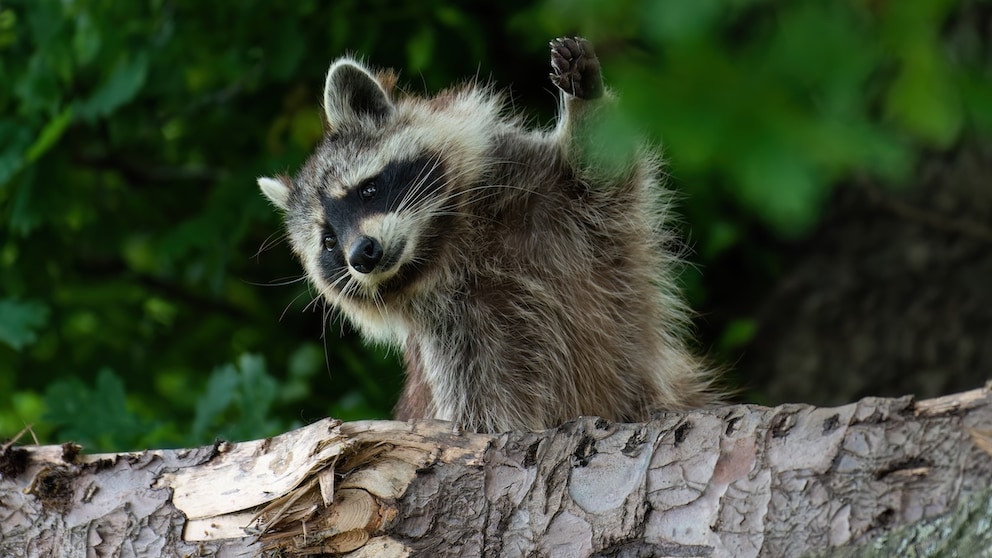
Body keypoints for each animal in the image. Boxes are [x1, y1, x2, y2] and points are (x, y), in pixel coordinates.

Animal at [258, 37, 717, 432]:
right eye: (328, 242)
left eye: (367, 190)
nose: (362, 254)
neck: (448, 244)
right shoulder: (456, 337)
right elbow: (488, 410)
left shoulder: (546, 192)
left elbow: (601, 171)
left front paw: (583, 98)